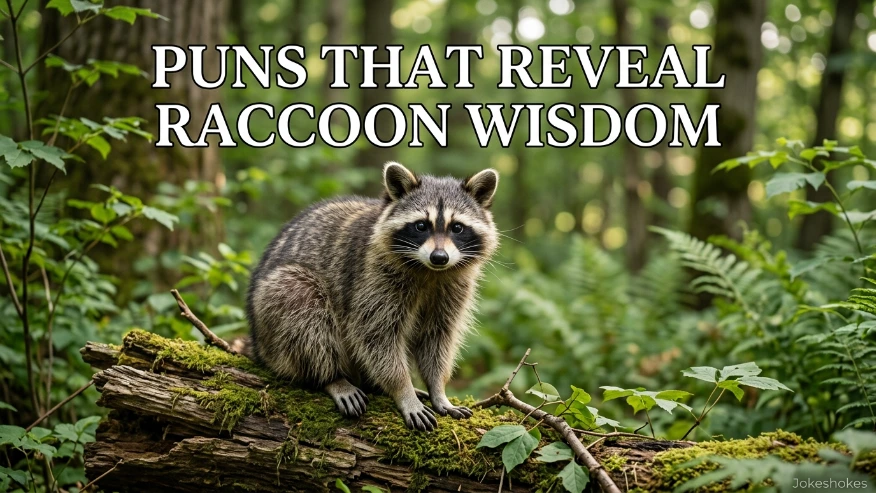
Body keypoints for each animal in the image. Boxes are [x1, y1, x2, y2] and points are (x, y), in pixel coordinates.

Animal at [246, 162, 499, 431]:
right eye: (421, 226)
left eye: (457, 227)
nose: (439, 257)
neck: (430, 272)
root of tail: (258, 344)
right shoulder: (373, 279)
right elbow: (377, 336)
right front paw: (403, 390)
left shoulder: (453, 288)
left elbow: (437, 337)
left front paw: (438, 389)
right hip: (275, 306)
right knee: (304, 310)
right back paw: (332, 378)